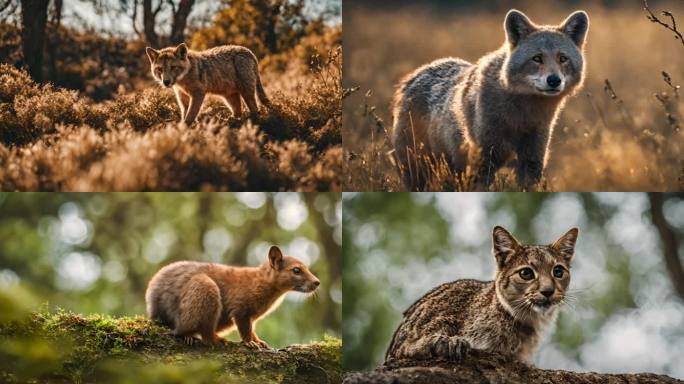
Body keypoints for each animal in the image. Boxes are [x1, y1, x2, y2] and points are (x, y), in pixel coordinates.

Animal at [392, 11, 592, 191]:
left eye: (563, 59)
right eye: (537, 58)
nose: (554, 80)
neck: (520, 116)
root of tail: (413, 76)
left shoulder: (532, 160)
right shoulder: (484, 161)